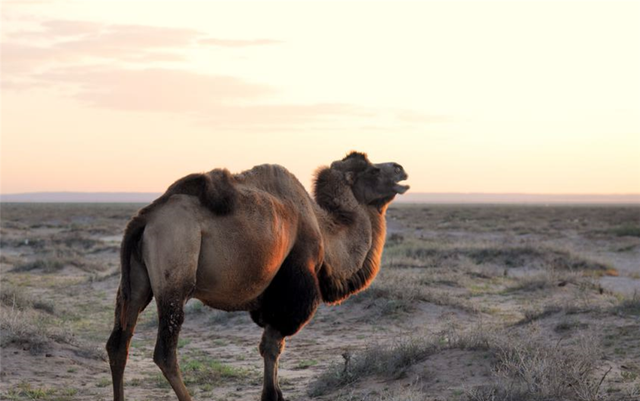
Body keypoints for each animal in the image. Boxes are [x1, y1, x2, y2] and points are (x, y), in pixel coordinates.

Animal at [104, 151, 404, 400]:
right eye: (374, 169)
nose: (400, 168)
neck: (325, 231)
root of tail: (145, 218)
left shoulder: (271, 299)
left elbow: (270, 348)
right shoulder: (292, 289)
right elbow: (272, 346)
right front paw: (272, 395)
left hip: (136, 283)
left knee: (119, 343)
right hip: (175, 269)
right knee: (165, 352)